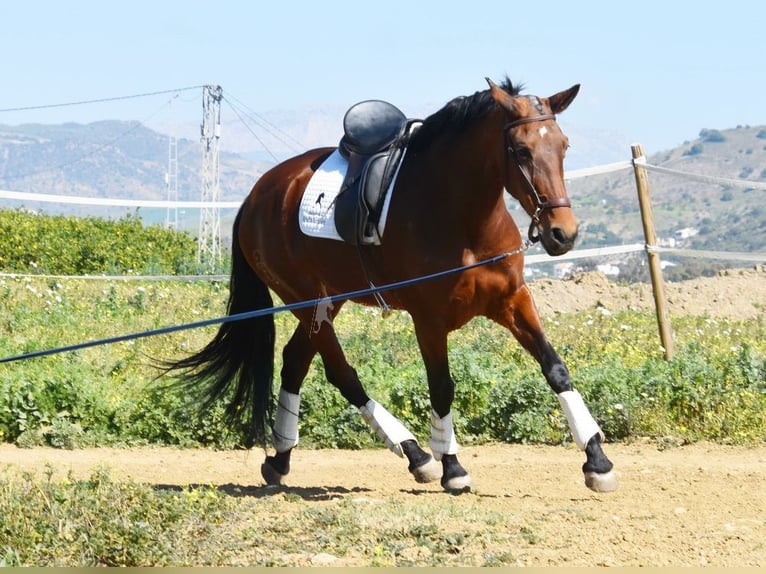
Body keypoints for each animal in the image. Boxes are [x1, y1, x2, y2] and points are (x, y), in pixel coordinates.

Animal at [166, 77, 616, 496]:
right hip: (306, 301)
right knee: (340, 372)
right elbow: (442, 386)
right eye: (521, 150)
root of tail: (258, 193)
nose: (563, 234)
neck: (465, 220)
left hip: (330, 299)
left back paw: (282, 458)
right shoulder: (429, 319)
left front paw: (596, 460)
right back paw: (415, 453)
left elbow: (555, 368)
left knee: (295, 361)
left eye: (563, 146)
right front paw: (452, 467)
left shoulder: (513, 300)